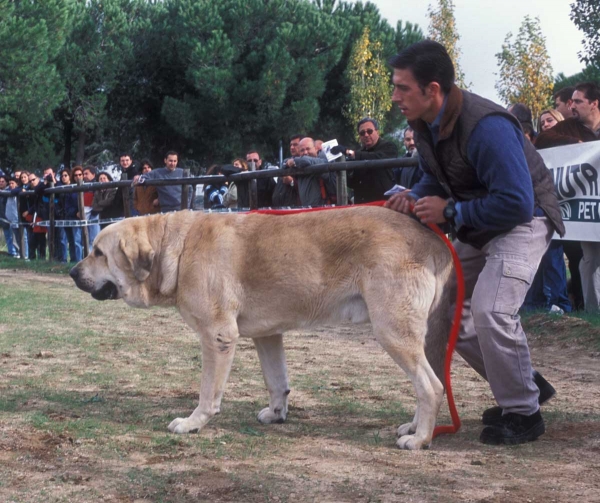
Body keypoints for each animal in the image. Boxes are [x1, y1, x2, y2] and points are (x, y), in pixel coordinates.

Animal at [70, 207, 452, 450]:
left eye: (98, 252)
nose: (72, 272)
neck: (176, 249)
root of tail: (434, 242)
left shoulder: (218, 337)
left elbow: (208, 393)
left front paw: (193, 424)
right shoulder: (267, 336)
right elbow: (277, 382)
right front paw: (277, 414)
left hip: (392, 331)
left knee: (431, 387)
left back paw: (420, 439)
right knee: (425, 385)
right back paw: (415, 426)